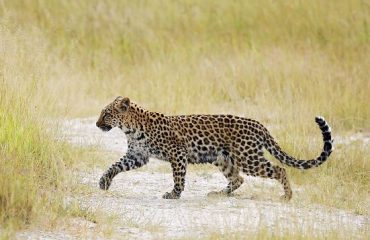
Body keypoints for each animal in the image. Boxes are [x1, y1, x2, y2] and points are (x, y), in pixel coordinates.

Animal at [97, 96, 334, 200]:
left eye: (106, 114)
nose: (98, 124)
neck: (130, 128)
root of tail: (258, 124)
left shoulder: (177, 153)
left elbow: (178, 176)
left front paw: (174, 194)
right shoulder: (137, 155)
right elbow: (115, 165)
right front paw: (103, 182)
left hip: (248, 158)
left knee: (279, 169)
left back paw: (287, 195)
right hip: (223, 158)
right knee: (238, 179)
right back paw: (219, 193)